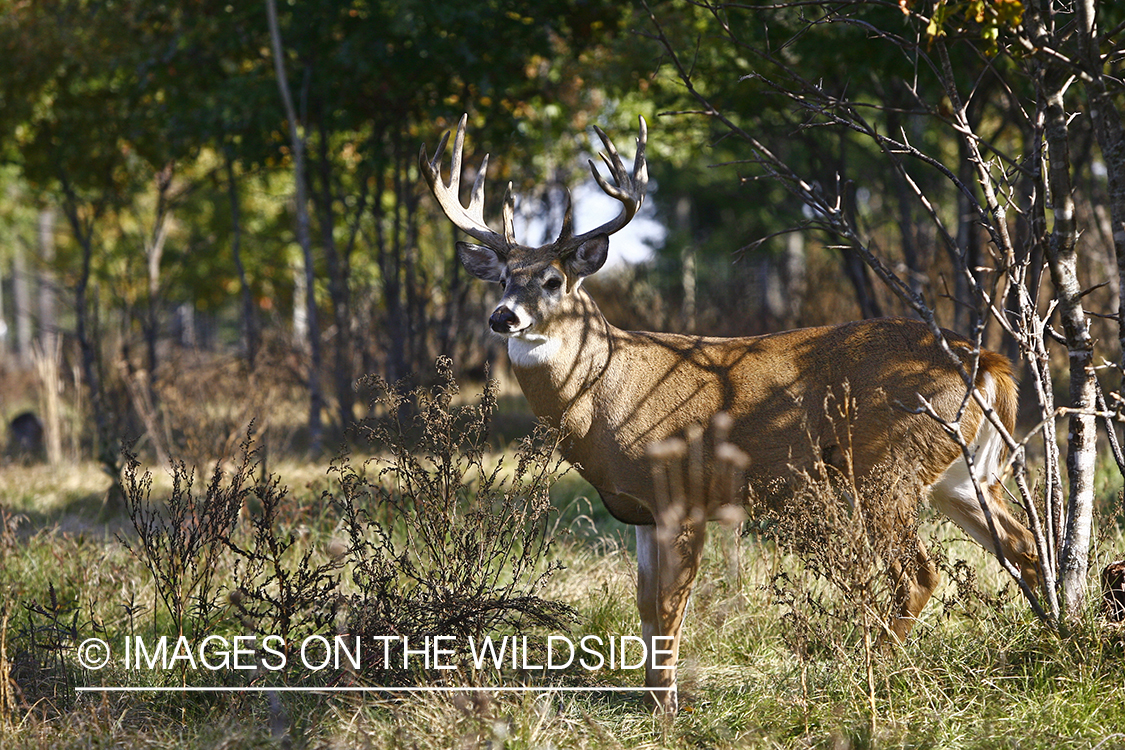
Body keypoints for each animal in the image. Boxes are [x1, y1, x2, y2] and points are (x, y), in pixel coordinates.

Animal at [418, 114, 1039, 715]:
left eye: (552, 280)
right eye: (502, 279)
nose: (503, 317)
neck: (604, 393)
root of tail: (986, 360)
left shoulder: (684, 492)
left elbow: (670, 607)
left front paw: (667, 706)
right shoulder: (641, 512)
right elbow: (644, 604)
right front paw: (651, 696)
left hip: (886, 463)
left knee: (918, 575)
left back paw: (859, 671)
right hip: (959, 475)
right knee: (1024, 547)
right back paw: (1050, 635)